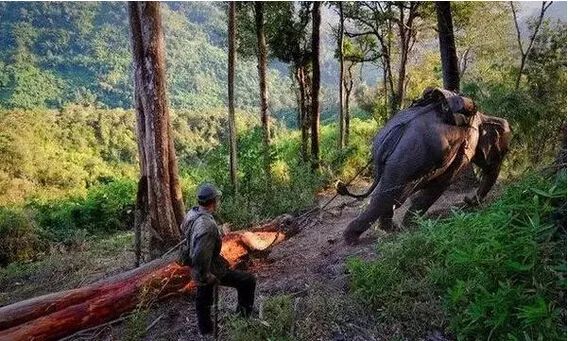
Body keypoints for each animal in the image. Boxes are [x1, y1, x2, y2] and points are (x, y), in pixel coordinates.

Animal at [338, 88, 510, 244]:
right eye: (504, 151)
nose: (468, 200)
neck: (482, 117)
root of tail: (396, 131)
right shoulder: (465, 148)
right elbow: (442, 183)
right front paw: (412, 225)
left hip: (393, 157)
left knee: (388, 192)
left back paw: (387, 229)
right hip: (409, 156)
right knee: (393, 193)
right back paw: (354, 238)